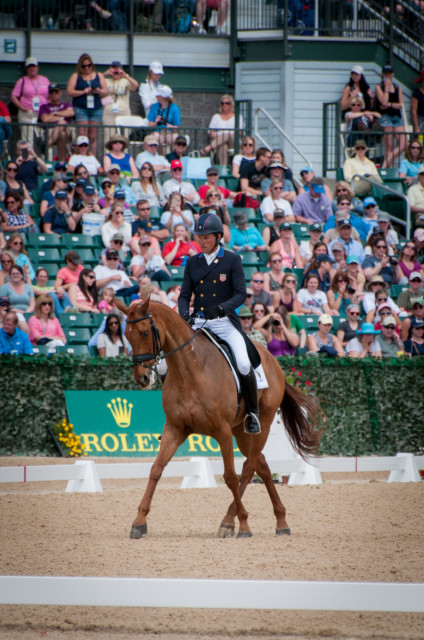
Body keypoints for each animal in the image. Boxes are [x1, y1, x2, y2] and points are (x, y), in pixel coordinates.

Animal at [114, 298, 322, 536]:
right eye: (127, 335)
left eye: (145, 332)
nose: (142, 378)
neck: (190, 369)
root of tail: (272, 359)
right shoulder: (175, 429)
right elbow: (156, 469)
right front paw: (139, 522)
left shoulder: (222, 431)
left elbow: (230, 476)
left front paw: (243, 524)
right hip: (240, 431)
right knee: (261, 465)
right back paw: (281, 522)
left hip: (263, 424)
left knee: (249, 468)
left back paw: (232, 521)